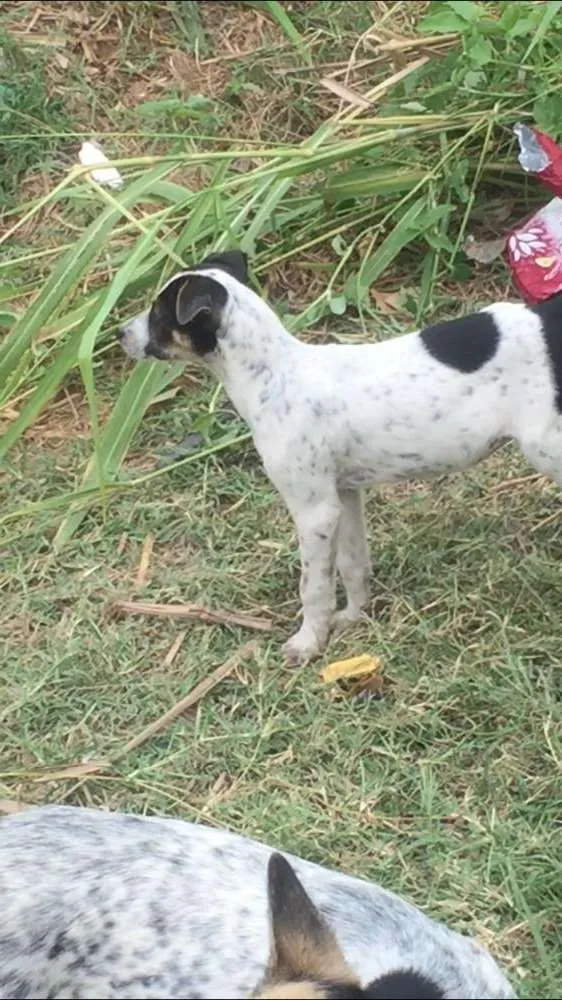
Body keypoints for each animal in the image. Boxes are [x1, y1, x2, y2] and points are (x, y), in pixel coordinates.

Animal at [119, 252, 560, 664]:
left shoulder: (313, 511)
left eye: (158, 313)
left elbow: (313, 586)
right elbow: (352, 562)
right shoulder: (344, 496)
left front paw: (308, 642)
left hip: (545, 445)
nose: (120, 333)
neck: (275, 375)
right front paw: (353, 616)